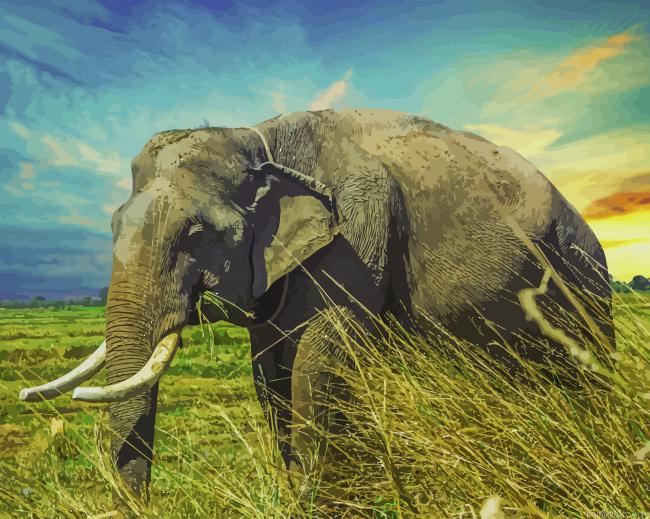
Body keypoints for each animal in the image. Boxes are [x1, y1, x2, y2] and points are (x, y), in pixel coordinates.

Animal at [19, 108, 614, 508]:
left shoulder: (359, 229)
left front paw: (315, 501)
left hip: (584, 276)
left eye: (196, 234)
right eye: (112, 227)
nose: (140, 504)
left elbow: (318, 357)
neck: (258, 136)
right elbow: (269, 370)